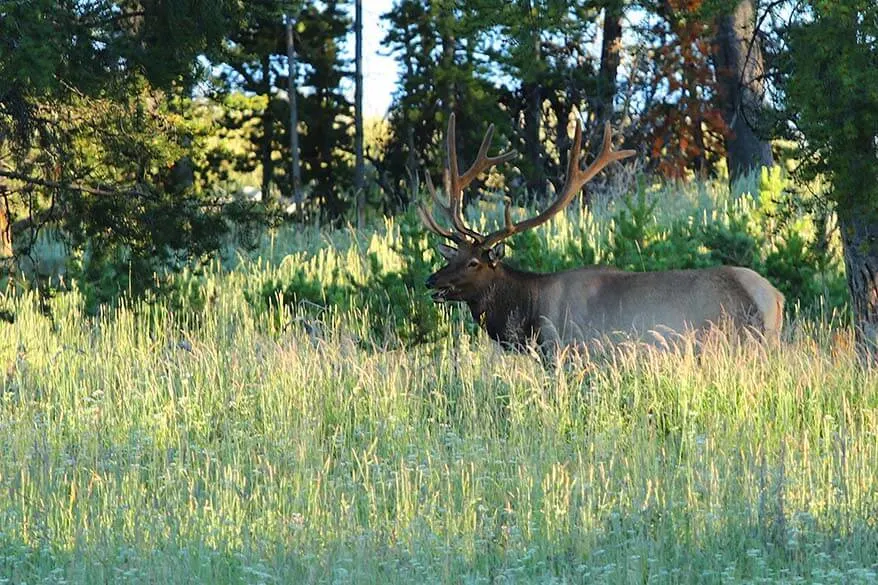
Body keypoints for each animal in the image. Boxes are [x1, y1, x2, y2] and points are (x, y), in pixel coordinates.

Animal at [420, 114, 784, 352]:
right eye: (453, 255)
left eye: (473, 263)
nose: (432, 281)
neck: (531, 316)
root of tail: (774, 297)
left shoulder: (575, 353)